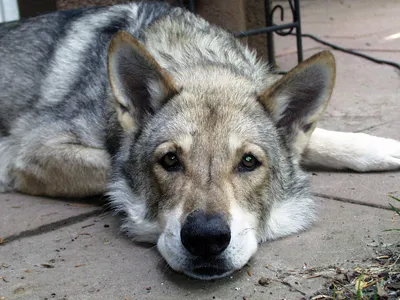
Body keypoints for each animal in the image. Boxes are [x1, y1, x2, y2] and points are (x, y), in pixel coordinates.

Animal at [0, 1, 400, 278]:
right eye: (170, 160)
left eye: (249, 161)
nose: (205, 238)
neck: (196, 59)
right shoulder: (30, 151)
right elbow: (113, 168)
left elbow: (325, 139)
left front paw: (385, 148)